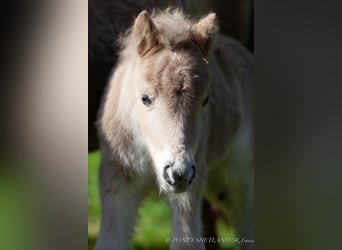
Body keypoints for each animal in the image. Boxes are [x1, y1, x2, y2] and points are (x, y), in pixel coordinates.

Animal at [95, 7, 252, 250]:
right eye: (145, 98)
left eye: (206, 99)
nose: (178, 173)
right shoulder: (116, 177)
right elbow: (109, 242)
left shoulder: (192, 184)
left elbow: (186, 242)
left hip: (241, 178)